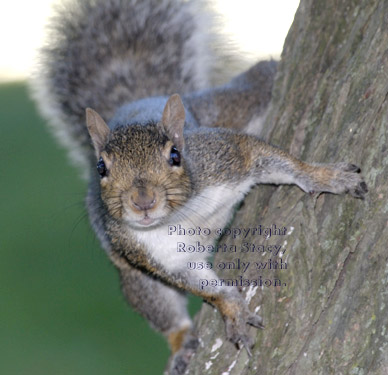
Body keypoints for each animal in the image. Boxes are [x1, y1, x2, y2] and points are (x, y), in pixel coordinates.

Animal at [30, 0, 366, 372]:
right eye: (101, 167)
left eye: (175, 155)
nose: (142, 202)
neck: (183, 213)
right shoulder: (159, 256)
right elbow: (205, 287)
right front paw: (232, 310)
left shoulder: (226, 156)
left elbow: (276, 160)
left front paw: (325, 177)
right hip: (137, 279)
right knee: (162, 309)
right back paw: (181, 345)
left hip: (229, 106)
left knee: (256, 83)